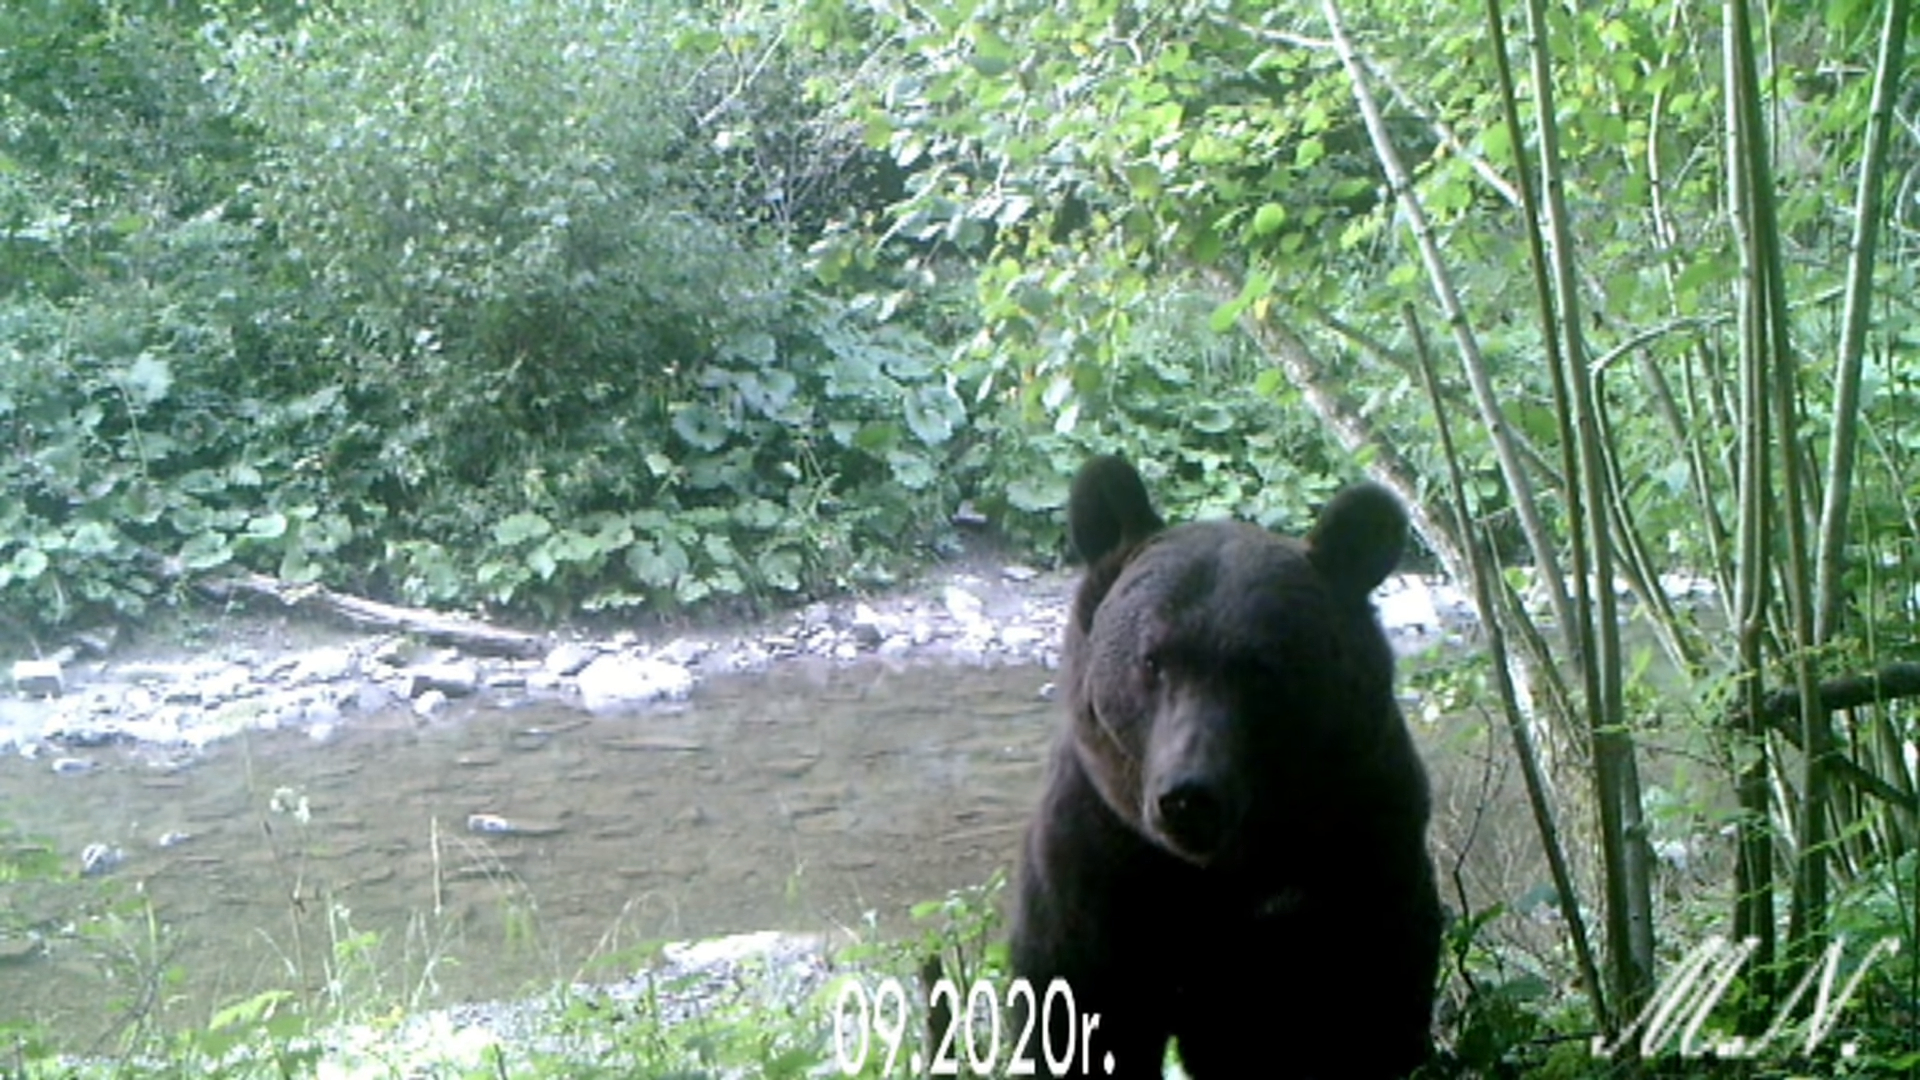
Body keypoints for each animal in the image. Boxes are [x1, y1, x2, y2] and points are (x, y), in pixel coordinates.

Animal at [1013, 455, 1436, 1076]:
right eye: (1153, 660)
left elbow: (1355, 1017)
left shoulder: (1358, 857)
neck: (1216, 872)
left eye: (1261, 669)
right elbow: (1079, 1016)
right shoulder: (1096, 867)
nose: (1189, 795)